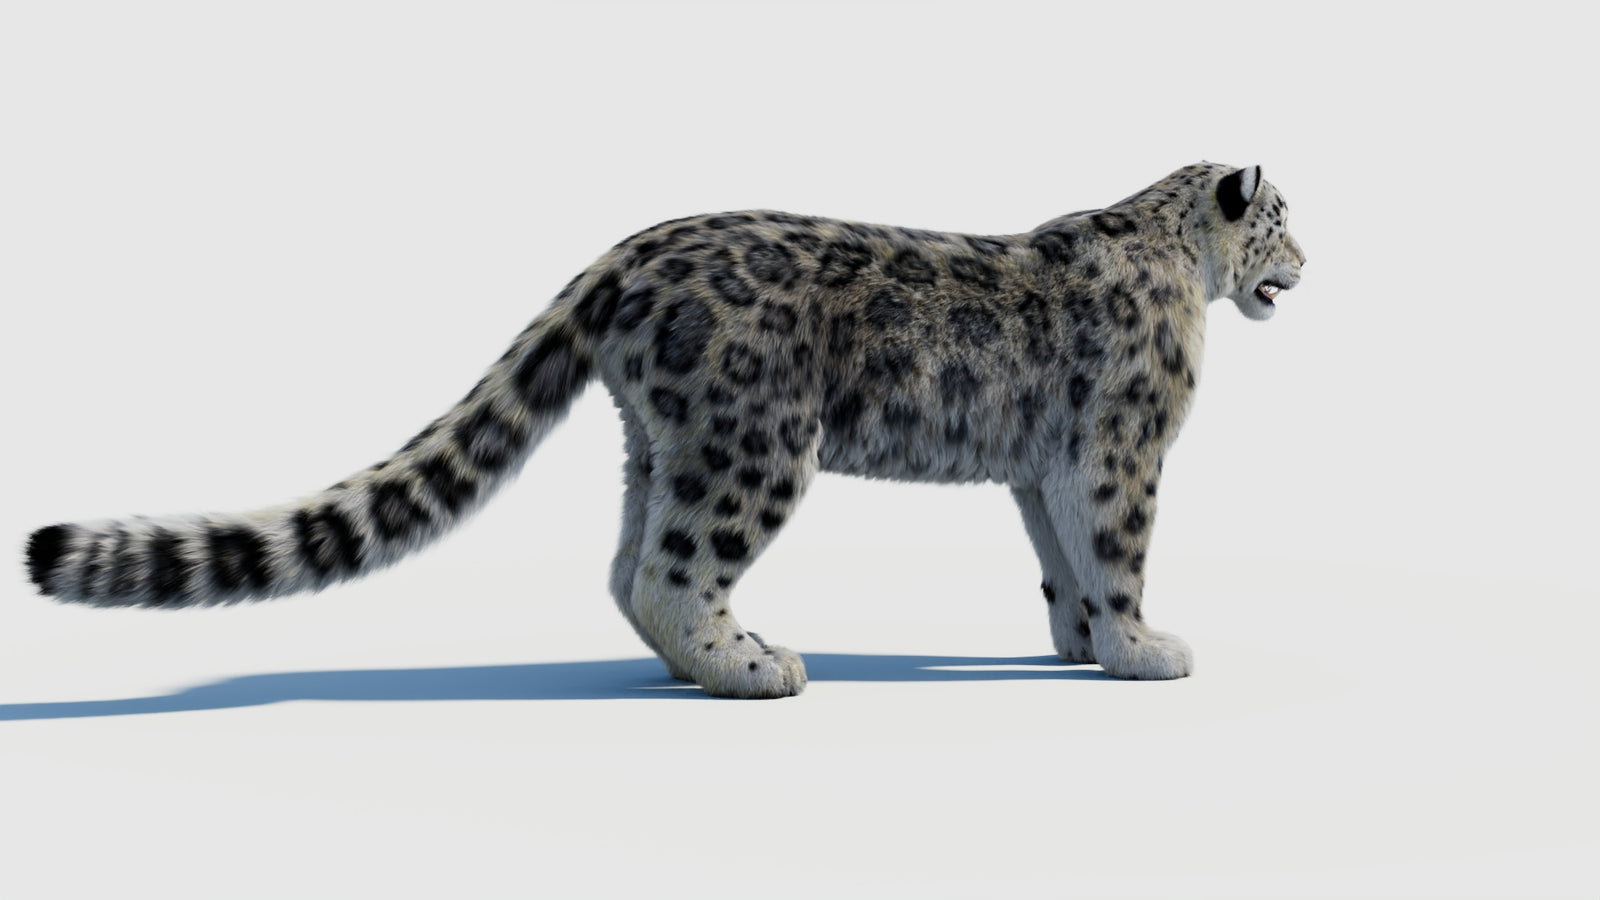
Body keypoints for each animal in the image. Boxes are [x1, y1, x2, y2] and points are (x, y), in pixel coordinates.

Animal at [24, 161, 1305, 698]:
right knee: (674, 567)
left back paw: (694, 664)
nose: (1309, 263)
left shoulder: (1043, 467)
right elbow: (1118, 551)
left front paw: (1083, 646)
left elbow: (1062, 564)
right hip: (756, 445)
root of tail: (626, 253)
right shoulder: (1123, 448)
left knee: (628, 561)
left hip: (664, 444)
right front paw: (1146, 650)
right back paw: (753, 667)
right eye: (1284, 217)